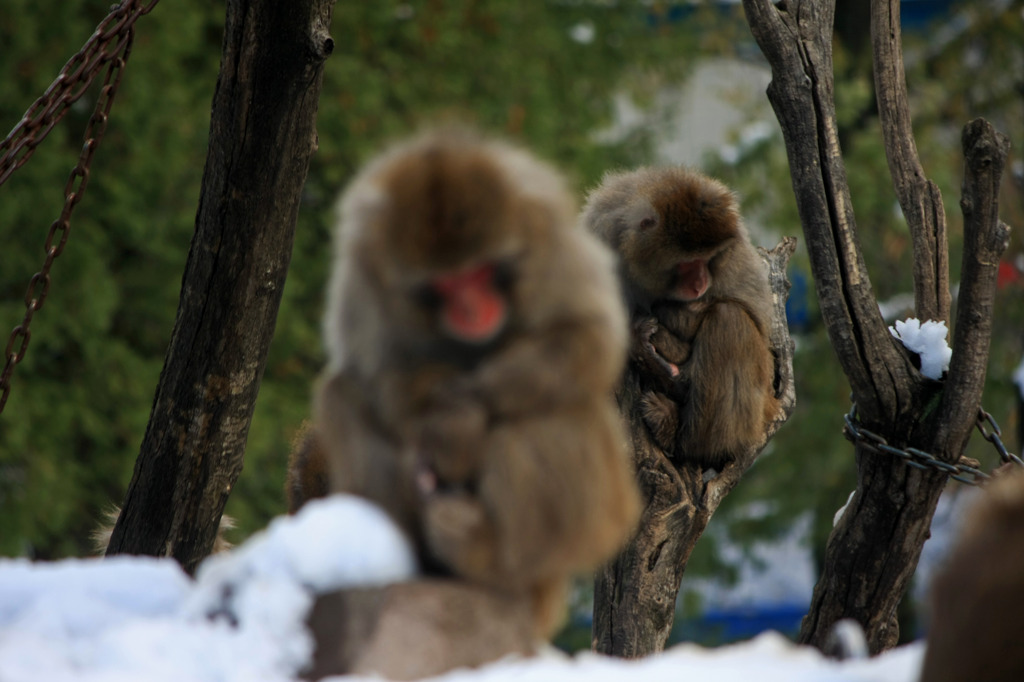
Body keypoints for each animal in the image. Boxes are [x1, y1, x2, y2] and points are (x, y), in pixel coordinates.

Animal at [311, 130, 638, 634]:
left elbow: (588, 334)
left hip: (586, 533)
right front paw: (448, 421)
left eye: (481, 273)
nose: (471, 310)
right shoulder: (364, 273)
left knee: (551, 408)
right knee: (343, 395)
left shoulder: (545, 233)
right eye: (446, 285)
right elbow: (381, 374)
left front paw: (462, 419)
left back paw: (489, 561)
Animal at [581, 166, 778, 471]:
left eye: (708, 259)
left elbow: (746, 312)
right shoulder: (600, 235)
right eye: (687, 263)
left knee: (729, 319)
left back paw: (682, 437)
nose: (700, 283)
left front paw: (651, 346)